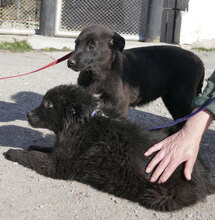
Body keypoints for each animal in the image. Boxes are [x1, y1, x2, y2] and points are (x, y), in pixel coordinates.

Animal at [4, 84, 214, 211]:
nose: (28, 114)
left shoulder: (59, 166)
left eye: (48, 104)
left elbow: (33, 157)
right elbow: (43, 149)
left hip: (158, 196)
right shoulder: (62, 152)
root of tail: (205, 177)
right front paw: (33, 145)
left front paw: (13, 152)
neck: (82, 124)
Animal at [68, 24, 204, 119]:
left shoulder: (118, 107)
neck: (99, 74)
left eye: (91, 47)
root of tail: (199, 61)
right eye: (76, 44)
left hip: (181, 98)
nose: (70, 62)